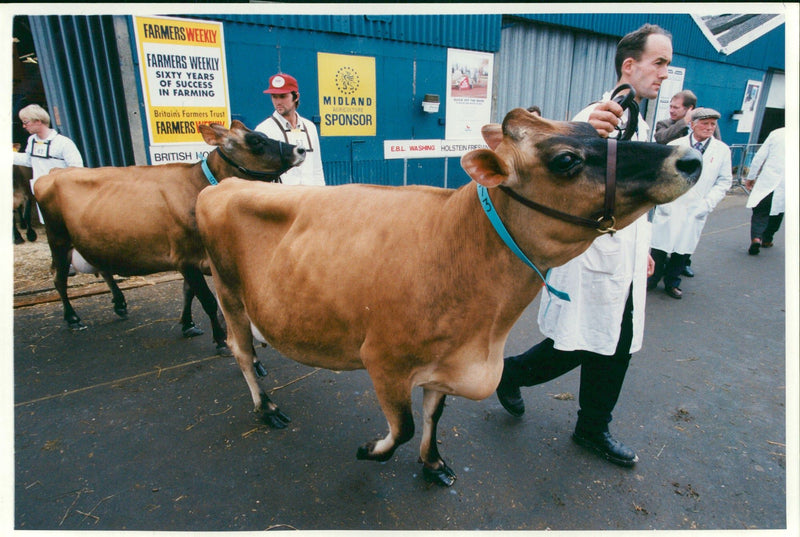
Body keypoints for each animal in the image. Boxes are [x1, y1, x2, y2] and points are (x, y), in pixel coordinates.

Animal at [33, 119, 306, 350]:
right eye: (256, 141)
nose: (300, 149)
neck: (199, 188)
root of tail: (54, 172)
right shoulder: (185, 257)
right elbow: (205, 299)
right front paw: (219, 339)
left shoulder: (194, 257)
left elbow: (188, 293)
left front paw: (188, 325)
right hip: (57, 238)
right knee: (59, 278)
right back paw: (72, 318)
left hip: (92, 239)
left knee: (103, 268)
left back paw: (120, 304)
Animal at [195, 110, 700, 486]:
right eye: (566, 160)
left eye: (602, 132)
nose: (690, 158)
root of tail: (227, 185)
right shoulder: (383, 360)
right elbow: (402, 427)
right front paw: (370, 449)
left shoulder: (445, 362)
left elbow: (433, 416)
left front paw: (433, 463)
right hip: (228, 289)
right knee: (239, 349)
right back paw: (266, 408)